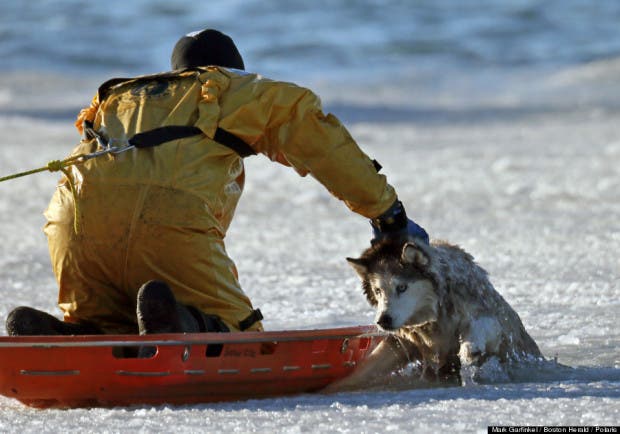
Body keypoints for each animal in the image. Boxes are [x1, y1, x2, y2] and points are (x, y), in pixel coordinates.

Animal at [330, 237, 544, 390]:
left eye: (402, 287)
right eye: (378, 291)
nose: (383, 320)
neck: (434, 320)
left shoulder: (491, 319)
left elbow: (479, 327)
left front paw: (469, 350)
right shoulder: (403, 342)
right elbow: (365, 369)